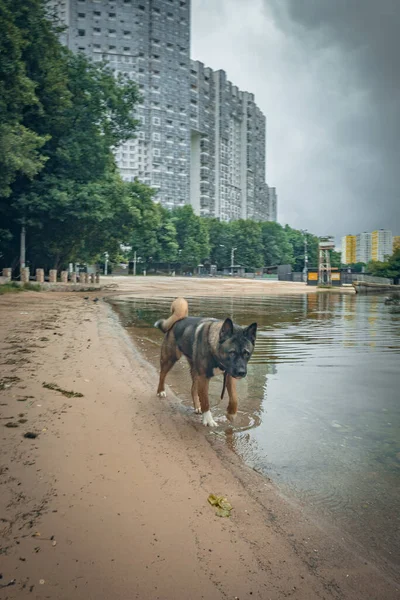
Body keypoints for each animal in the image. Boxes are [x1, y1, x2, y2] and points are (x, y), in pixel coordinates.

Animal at [155, 296, 258, 426]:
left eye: (246, 353)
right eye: (232, 352)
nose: (241, 372)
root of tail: (178, 320)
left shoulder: (229, 375)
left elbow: (234, 397)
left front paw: (231, 413)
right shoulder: (204, 377)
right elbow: (206, 400)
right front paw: (208, 420)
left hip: (195, 370)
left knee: (193, 389)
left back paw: (197, 406)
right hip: (169, 359)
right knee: (162, 375)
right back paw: (161, 391)